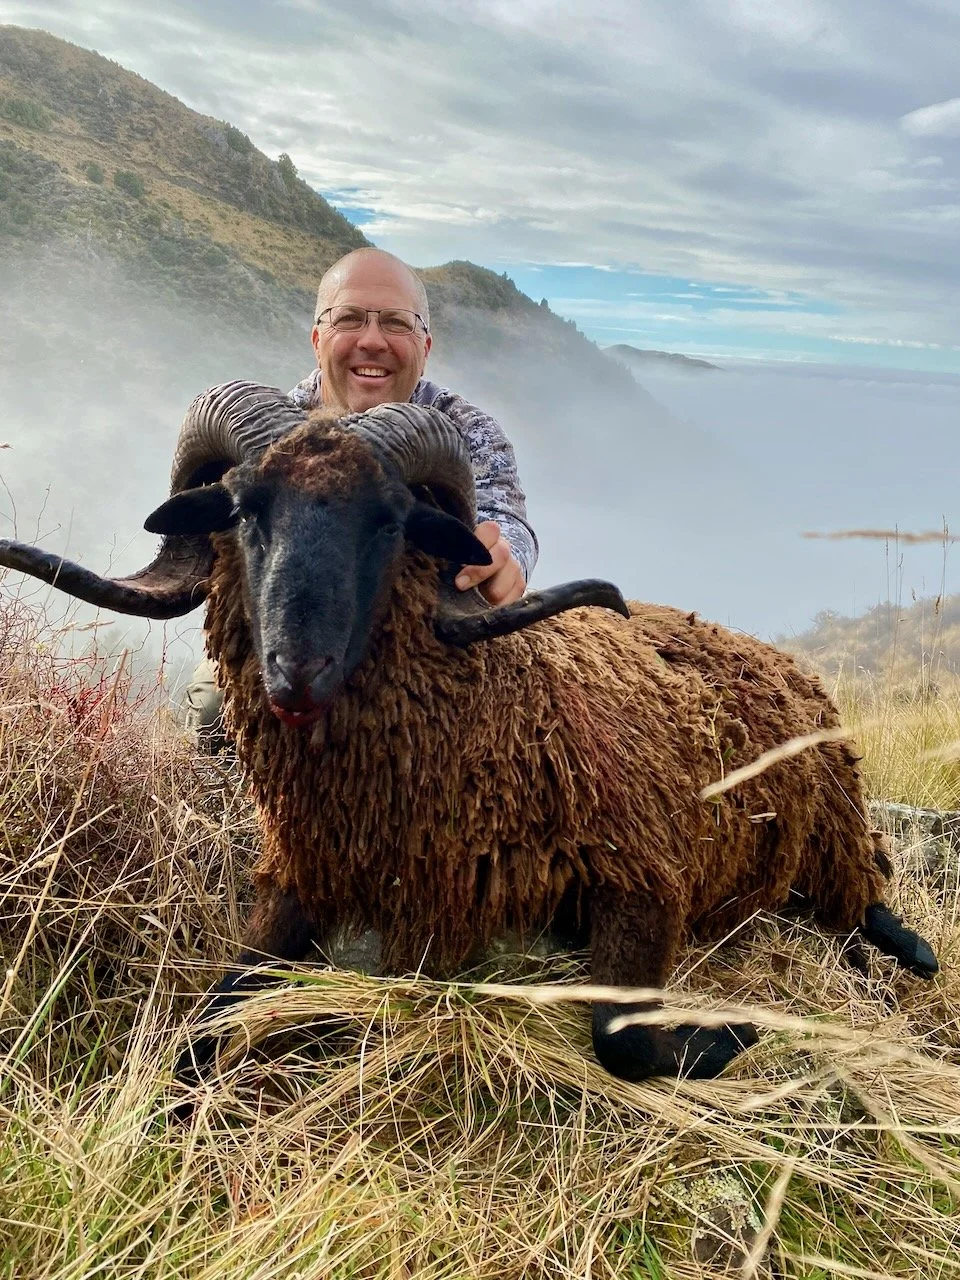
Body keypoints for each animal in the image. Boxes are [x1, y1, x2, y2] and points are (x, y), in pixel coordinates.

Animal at [0, 381, 938, 1086]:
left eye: (389, 519)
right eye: (240, 510)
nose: (295, 675)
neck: (496, 717)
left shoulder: (647, 879)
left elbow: (622, 1042)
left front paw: (736, 1034)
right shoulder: (301, 882)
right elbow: (199, 1029)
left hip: (833, 836)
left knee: (860, 903)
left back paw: (916, 950)